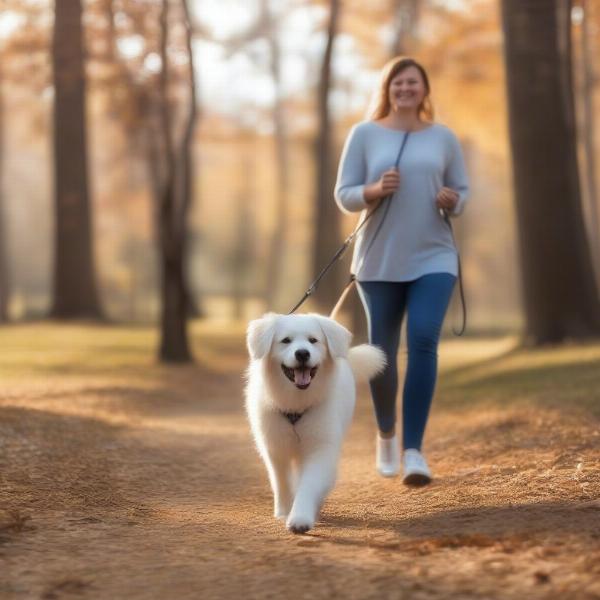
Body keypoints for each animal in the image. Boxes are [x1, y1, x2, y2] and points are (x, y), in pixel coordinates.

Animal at [244, 312, 384, 532]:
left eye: (313, 340)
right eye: (286, 340)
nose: (302, 353)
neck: (296, 404)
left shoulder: (320, 448)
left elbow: (309, 484)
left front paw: (300, 518)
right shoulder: (275, 448)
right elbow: (281, 482)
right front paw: (283, 512)